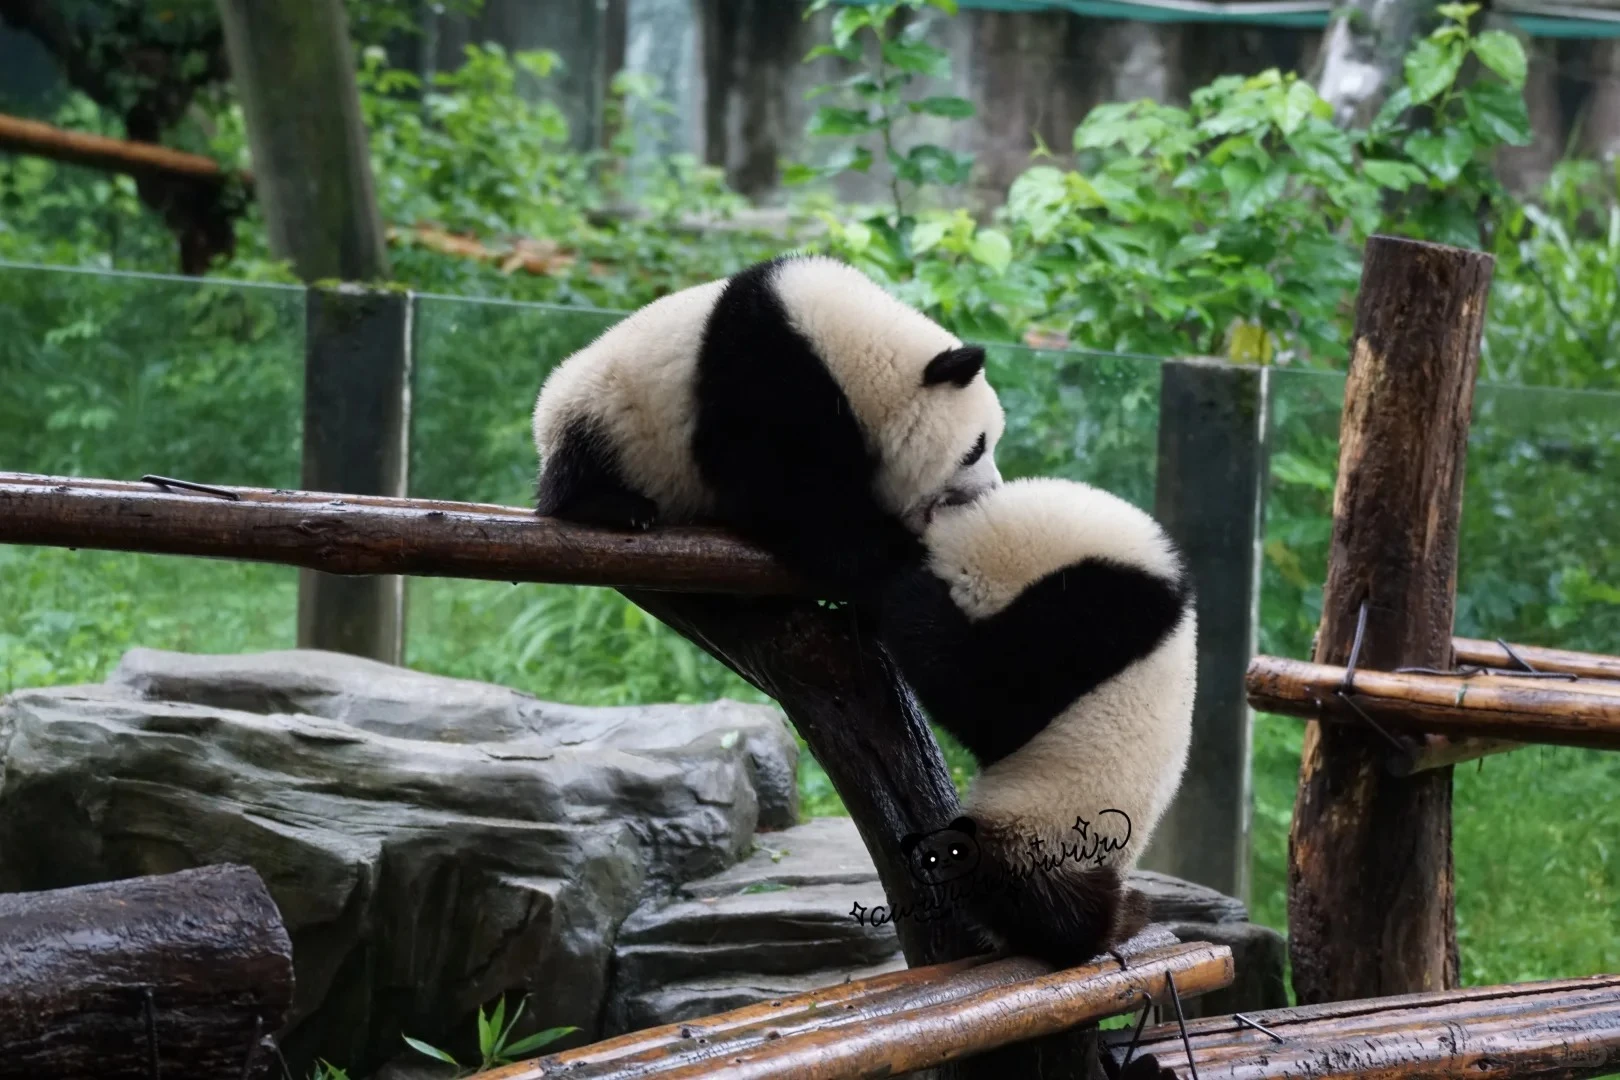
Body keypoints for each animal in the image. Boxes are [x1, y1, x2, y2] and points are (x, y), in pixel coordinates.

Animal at [531, 253, 1007, 595]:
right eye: (975, 448)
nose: (992, 489)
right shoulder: (764, 376)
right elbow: (780, 490)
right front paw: (885, 545)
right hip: (605, 413)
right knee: (574, 470)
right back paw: (618, 507)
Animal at [878, 476, 1197, 968]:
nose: (929, 513)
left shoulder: (1092, 615)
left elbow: (989, 703)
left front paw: (905, 582)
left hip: (1047, 828)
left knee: (1009, 880)